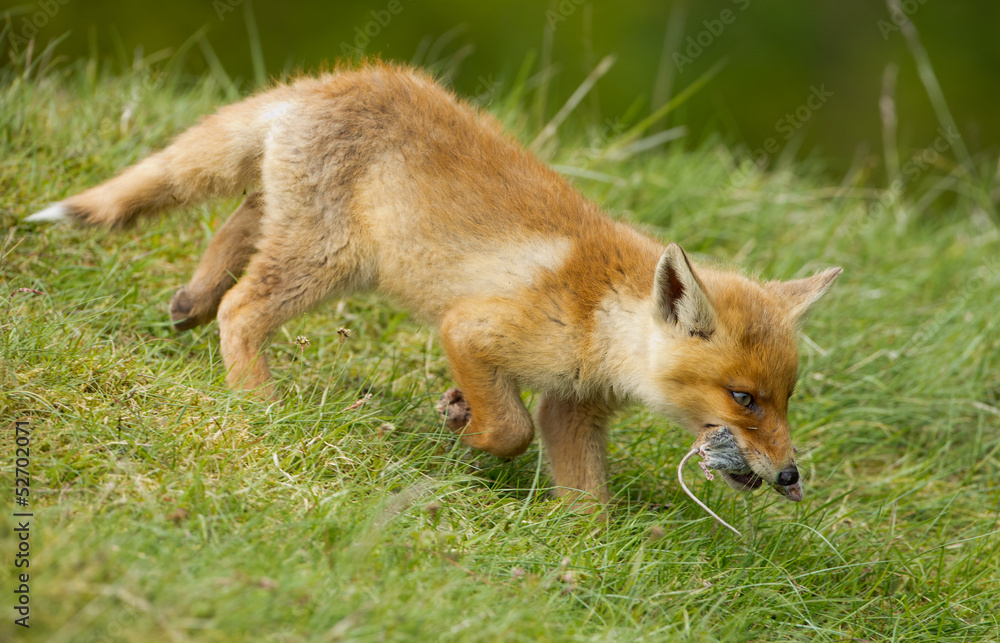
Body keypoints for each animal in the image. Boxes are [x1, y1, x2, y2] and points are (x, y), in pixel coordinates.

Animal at [26, 62, 841, 512]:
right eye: (744, 398)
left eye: (785, 398)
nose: (790, 473)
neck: (600, 321)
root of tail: (332, 79)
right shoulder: (473, 329)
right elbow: (508, 430)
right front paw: (458, 423)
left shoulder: (573, 407)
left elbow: (587, 500)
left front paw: (583, 553)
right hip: (328, 262)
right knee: (242, 307)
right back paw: (257, 398)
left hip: (302, 230)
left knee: (237, 225)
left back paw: (189, 303)